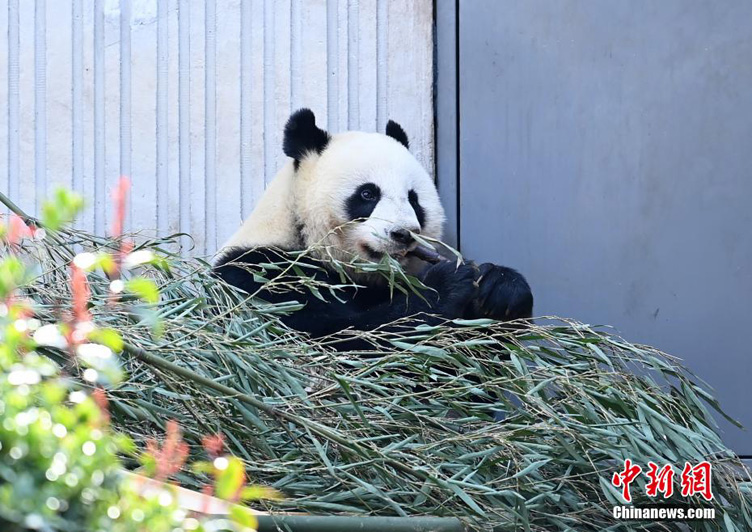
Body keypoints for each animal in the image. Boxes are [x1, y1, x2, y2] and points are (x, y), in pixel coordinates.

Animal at [213, 108, 536, 344]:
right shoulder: (262, 277)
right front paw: (445, 283)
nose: (403, 234)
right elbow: (340, 340)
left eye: (414, 199)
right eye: (368, 194)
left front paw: (501, 287)